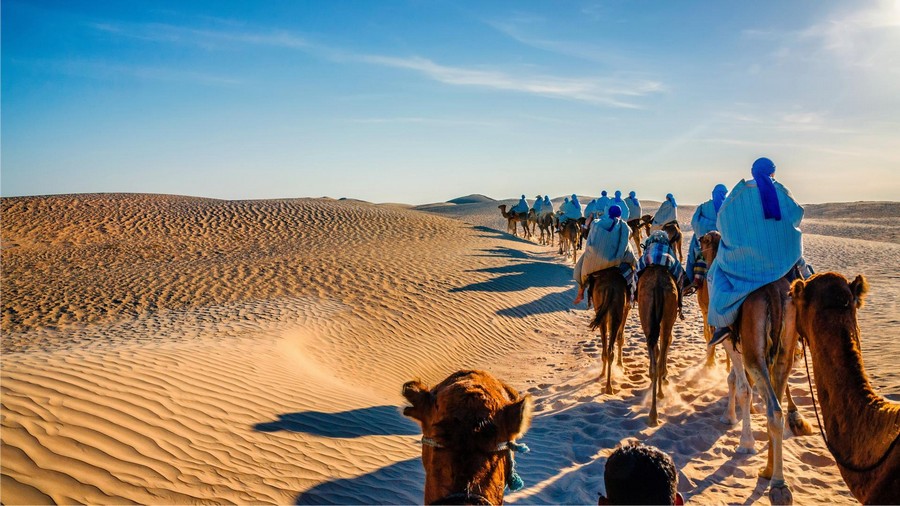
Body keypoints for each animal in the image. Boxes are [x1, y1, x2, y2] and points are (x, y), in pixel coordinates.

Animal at [588, 266, 628, 394]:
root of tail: (610, 288)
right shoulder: (626, 308)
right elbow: (620, 338)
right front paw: (620, 365)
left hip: (601, 312)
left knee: (606, 350)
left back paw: (603, 377)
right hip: (616, 313)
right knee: (610, 349)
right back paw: (609, 387)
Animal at [636, 264, 680, 426]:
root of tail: (658, 286)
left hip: (647, 314)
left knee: (655, 349)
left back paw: (653, 413)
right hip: (668, 312)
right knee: (664, 344)